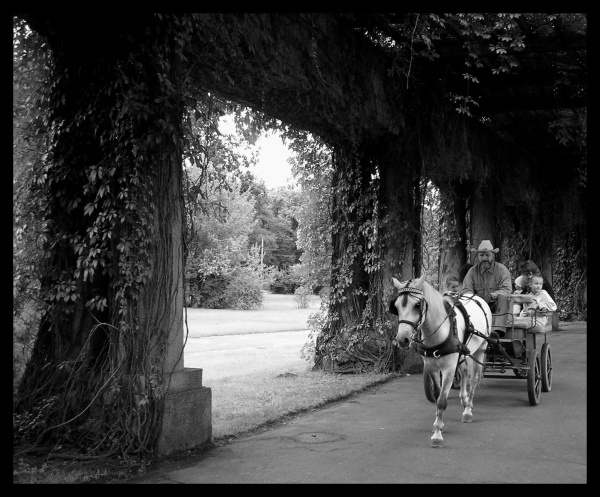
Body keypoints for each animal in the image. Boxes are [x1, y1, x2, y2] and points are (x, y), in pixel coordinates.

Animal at [390, 274, 492, 448]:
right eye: (396, 307)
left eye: (417, 305)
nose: (402, 340)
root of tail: (477, 297)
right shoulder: (431, 367)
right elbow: (438, 395)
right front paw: (439, 424)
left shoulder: (449, 369)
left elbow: (442, 401)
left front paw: (437, 436)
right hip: (463, 352)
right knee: (464, 372)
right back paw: (464, 400)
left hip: (480, 349)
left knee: (474, 379)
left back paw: (468, 410)